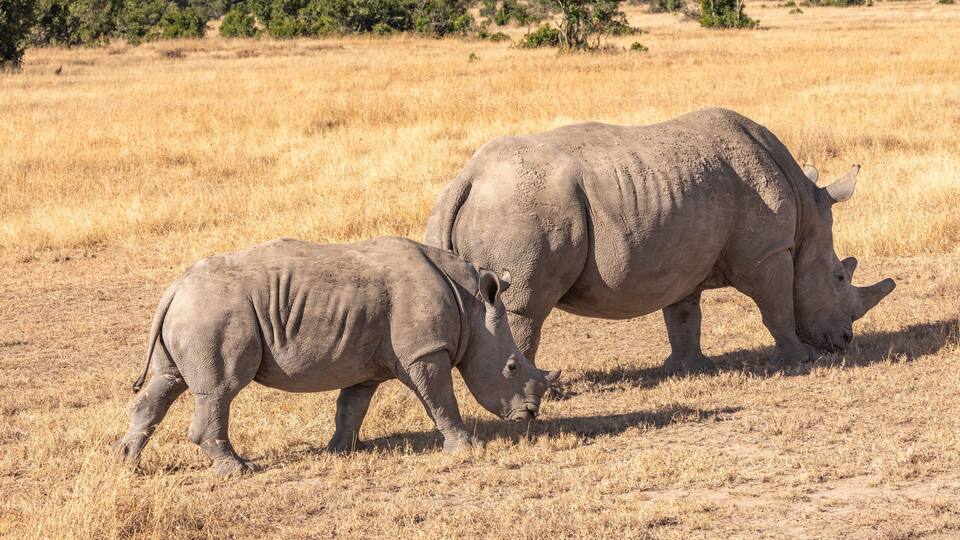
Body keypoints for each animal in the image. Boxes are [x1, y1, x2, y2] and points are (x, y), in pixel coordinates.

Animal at [116, 237, 560, 475]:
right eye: (511, 367)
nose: (529, 415)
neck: (471, 305)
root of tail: (175, 287)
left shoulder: (366, 363)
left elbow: (351, 406)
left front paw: (339, 451)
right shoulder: (425, 351)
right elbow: (440, 399)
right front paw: (465, 448)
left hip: (196, 312)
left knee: (167, 382)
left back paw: (126, 463)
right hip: (213, 312)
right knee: (220, 390)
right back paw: (239, 470)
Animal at [424, 108, 895, 373]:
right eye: (838, 278)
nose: (844, 343)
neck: (805, 213)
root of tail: (469, 178)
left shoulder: (683, 254)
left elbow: (683, 315)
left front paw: (687, 368)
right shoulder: (768, 254)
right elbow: (776, 307)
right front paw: (800, 361)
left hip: (476, 207)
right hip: (523, 209)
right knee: (523, 306)